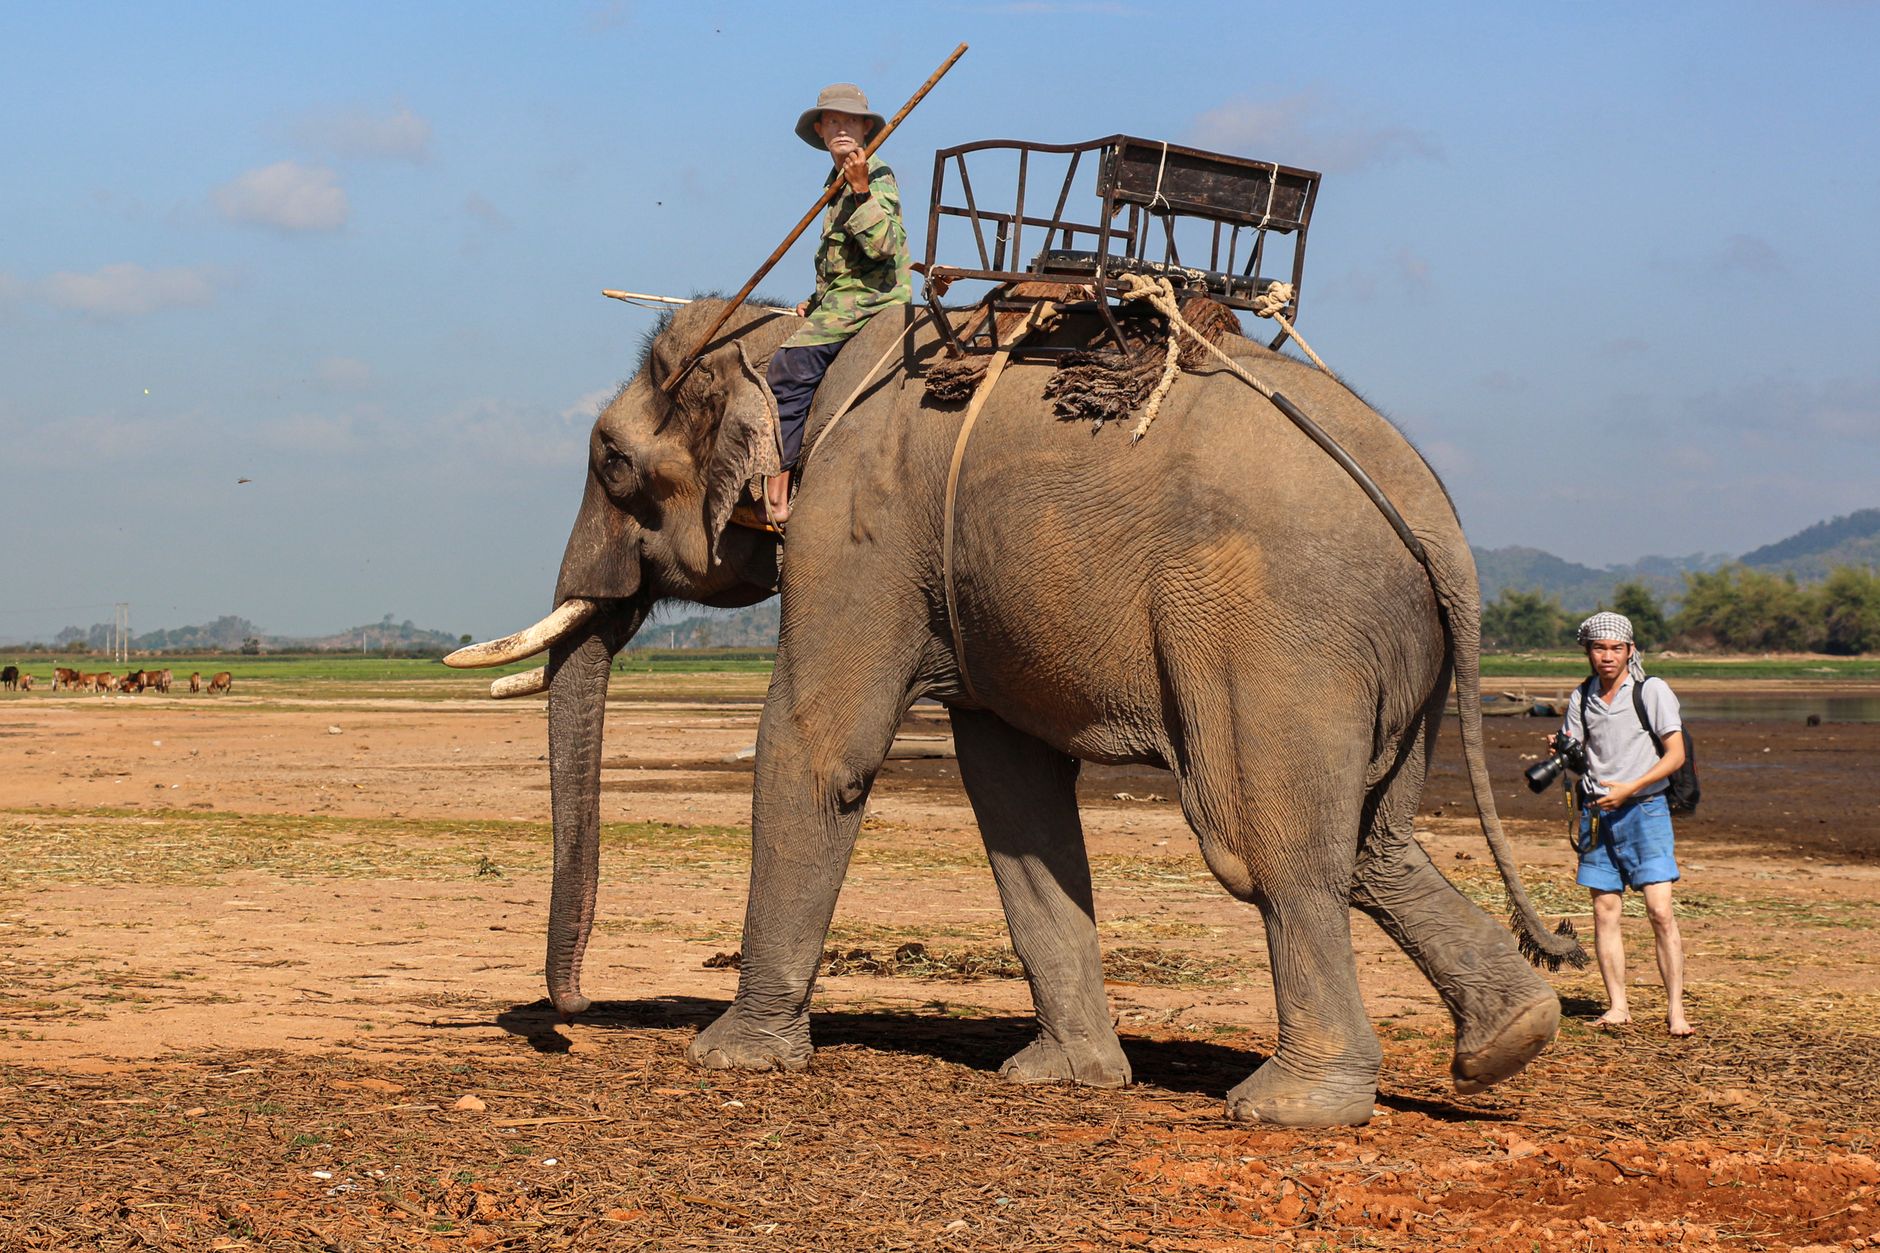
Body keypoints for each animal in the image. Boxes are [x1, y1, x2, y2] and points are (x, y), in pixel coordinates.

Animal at [451, 295, 1585, 1127]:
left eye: (609, 461)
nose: (572, 1011)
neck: (790, 332)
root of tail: (1441, 529)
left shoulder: (855, 524)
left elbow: (819, 745)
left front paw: (732, 1059)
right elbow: (1012, 790)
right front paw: (1064, 1080)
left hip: (1275, 630)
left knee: (1269, 846)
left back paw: (1288, 1107)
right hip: (1390, 651)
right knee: (1373, 842)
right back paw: (1508, 1040)